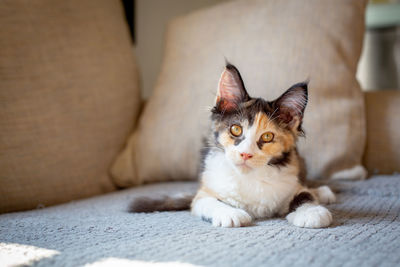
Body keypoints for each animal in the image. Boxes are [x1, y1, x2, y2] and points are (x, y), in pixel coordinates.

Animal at [130, 63, 334, 229]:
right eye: (236, 129)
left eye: (267, 136)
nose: (245, 154)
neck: (249, 177)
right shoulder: (203, 193)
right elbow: (209, 201)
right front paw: (230, 213)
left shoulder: (290, 182)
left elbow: (304, 195)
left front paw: (312, 212)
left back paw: (322, 192)